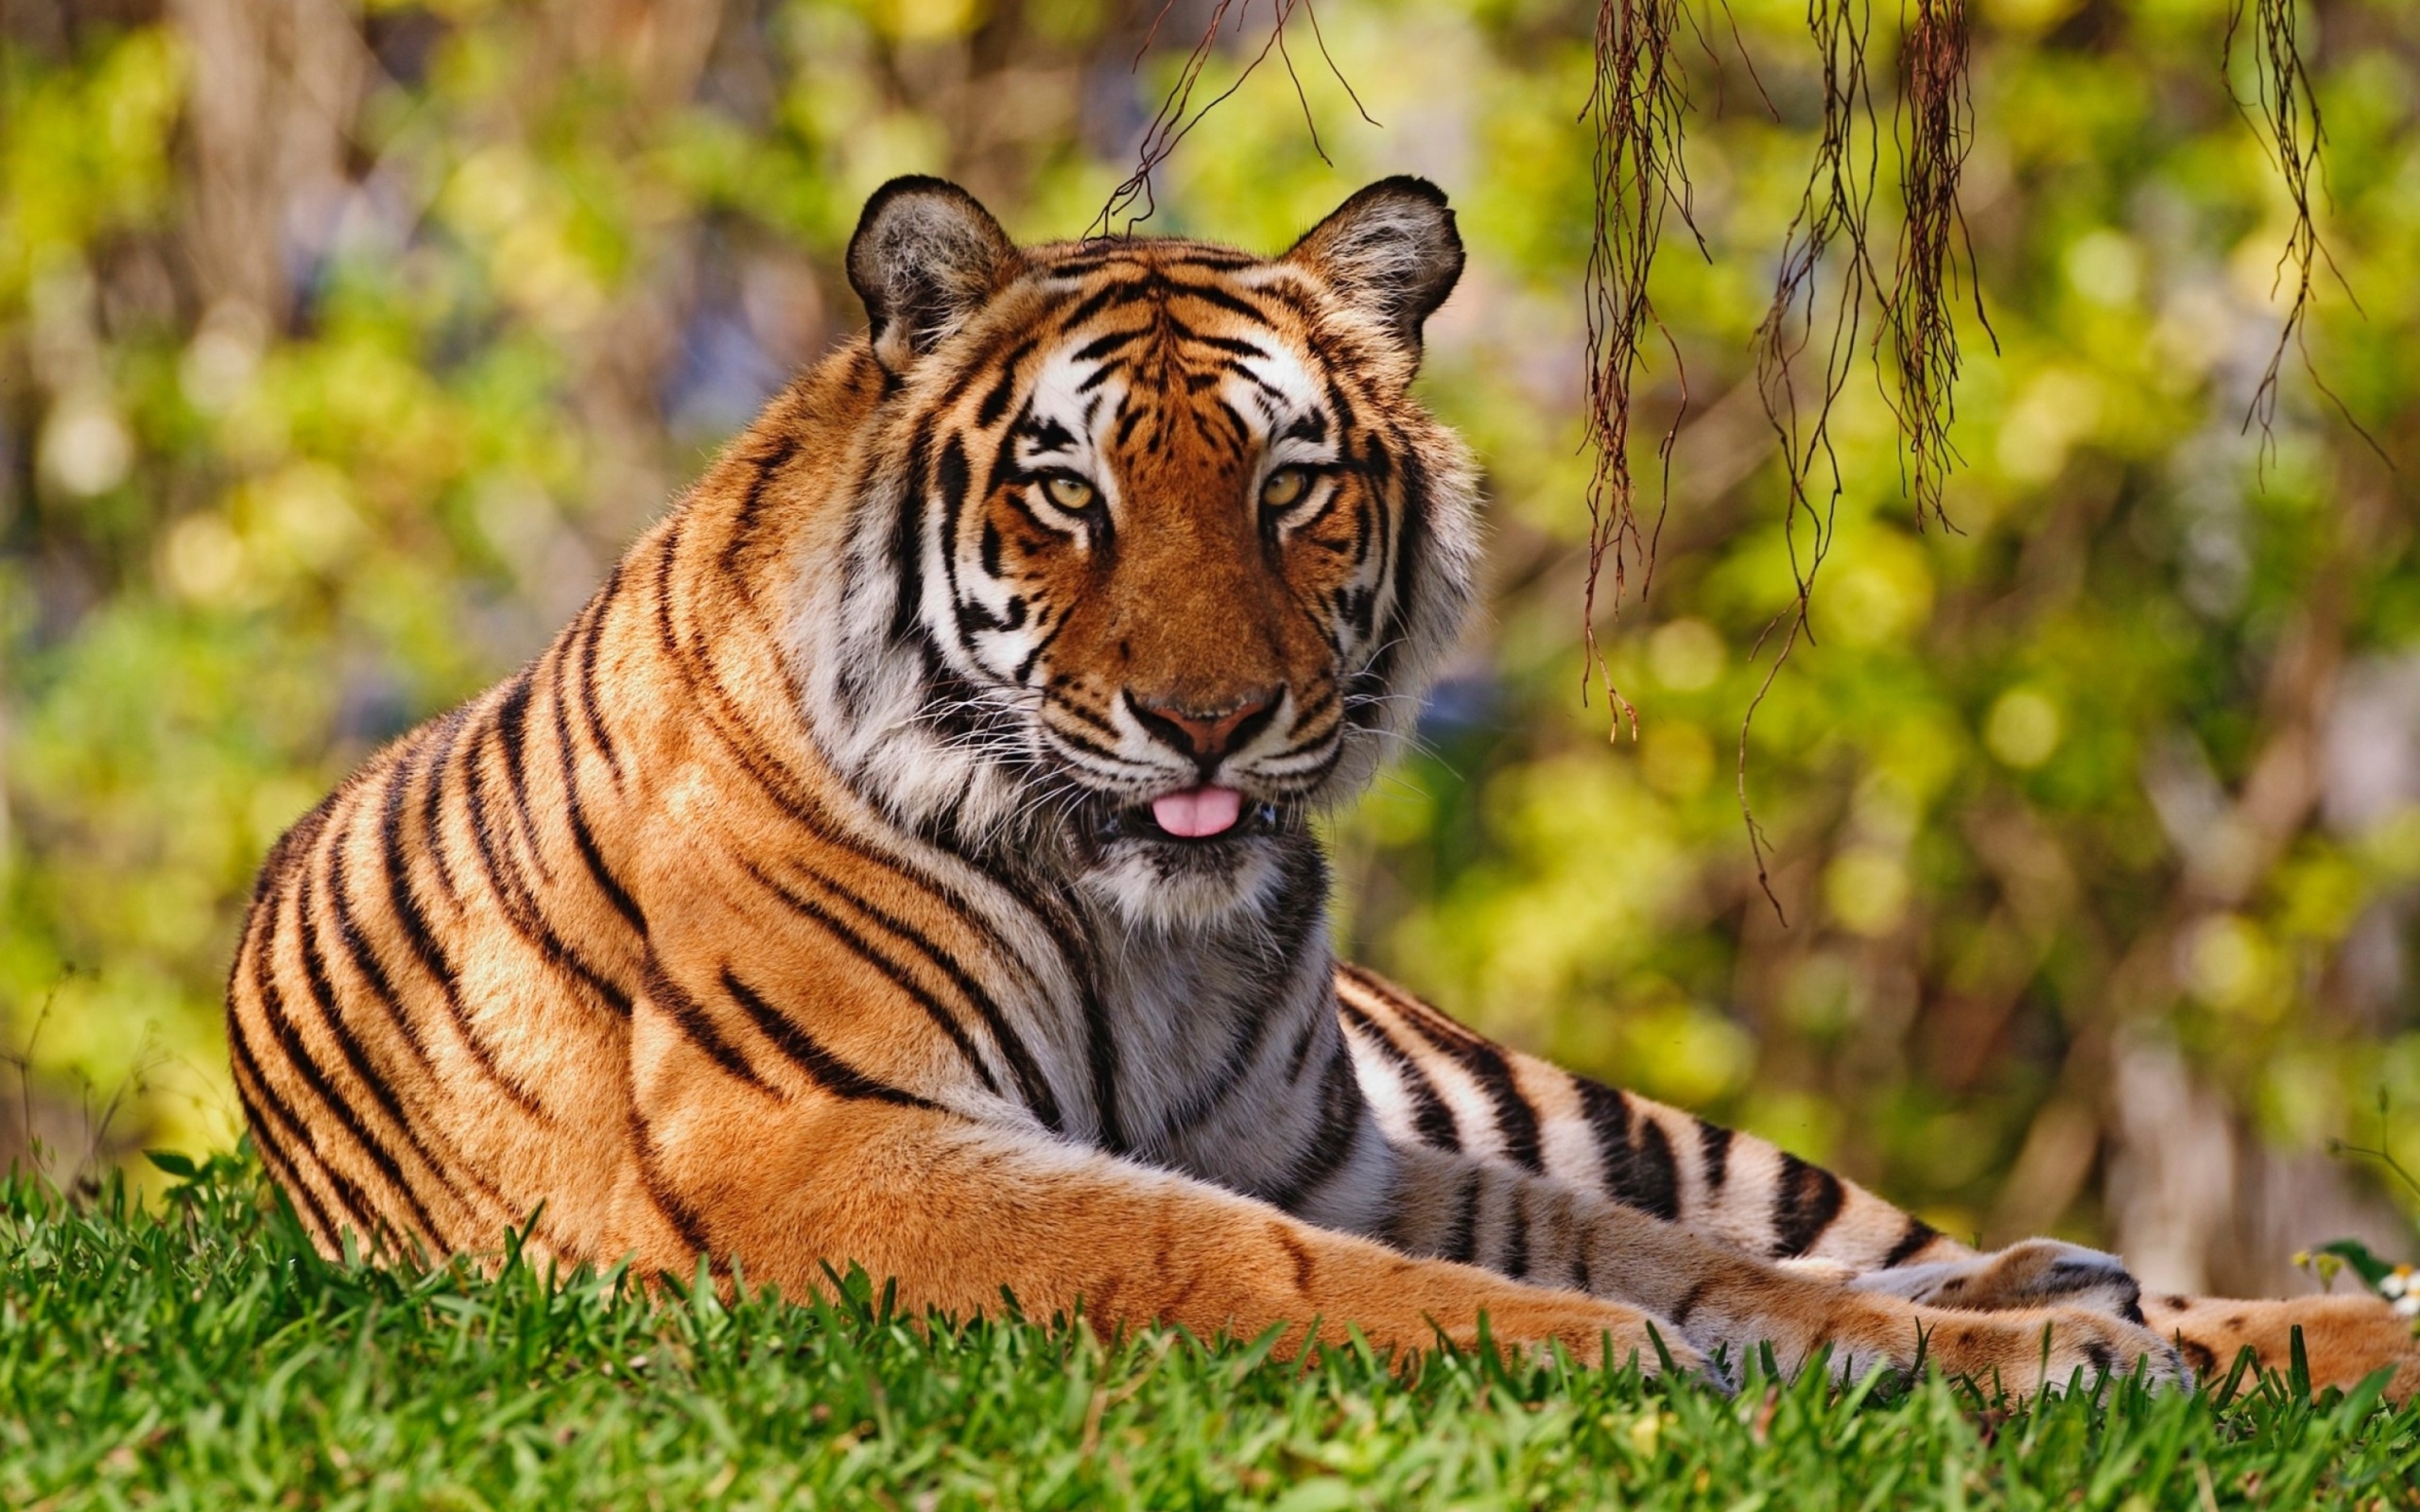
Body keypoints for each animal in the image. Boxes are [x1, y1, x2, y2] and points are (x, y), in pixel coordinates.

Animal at [217, 174, 2410, 1393]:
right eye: (1067, 493)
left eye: (1289, 485)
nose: (1209, 717)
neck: (1142, 928)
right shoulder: (820, 1143)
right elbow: (1244, 1262)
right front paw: (1615, 1360)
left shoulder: (1327, 1146)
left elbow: (1681, 1259)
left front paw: (2042, 1354)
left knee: (1845, 1226)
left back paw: (2199, 1309)